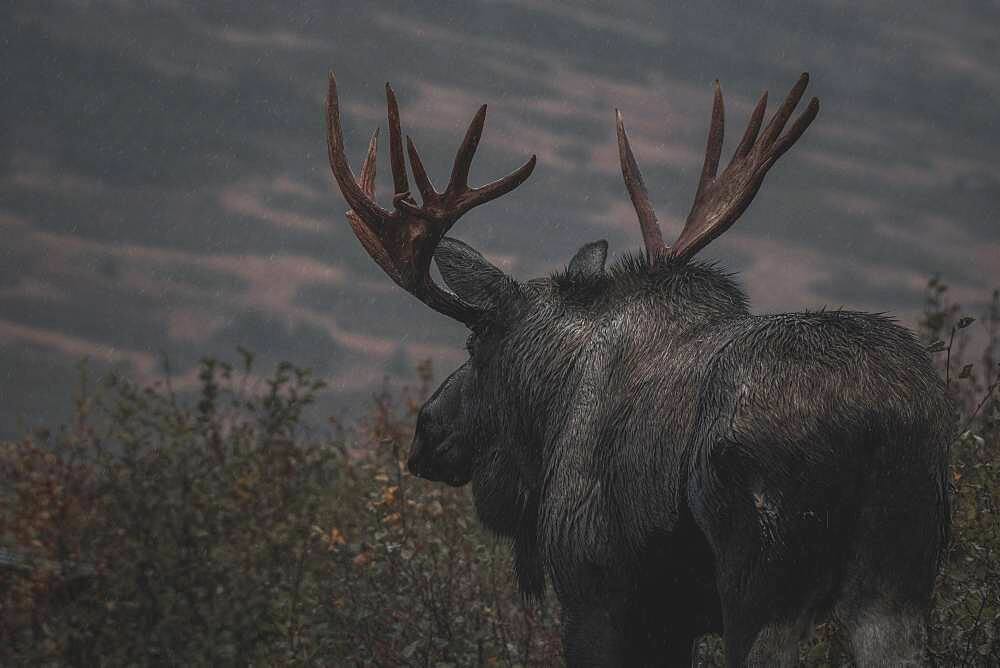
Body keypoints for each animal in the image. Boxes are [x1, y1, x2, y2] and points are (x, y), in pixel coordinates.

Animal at [326, 70, 952, 664]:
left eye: (474, 344)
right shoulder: (672, 619)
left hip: (763, 584)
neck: (552, 410)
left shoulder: (596, 595)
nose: (424, 431)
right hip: (899, 579)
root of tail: (874, 418)